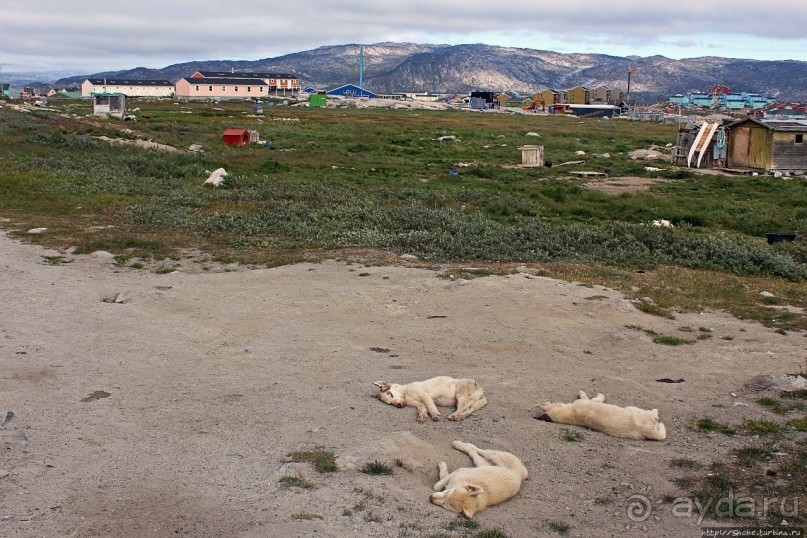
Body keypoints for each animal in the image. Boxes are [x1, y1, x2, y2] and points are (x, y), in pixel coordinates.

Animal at [532, 390, 664, 440]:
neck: (571, 414)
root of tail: (647, 430)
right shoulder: (590, 401)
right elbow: (595, 398)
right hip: (633, 409)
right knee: (655, 416)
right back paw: (655, 410)